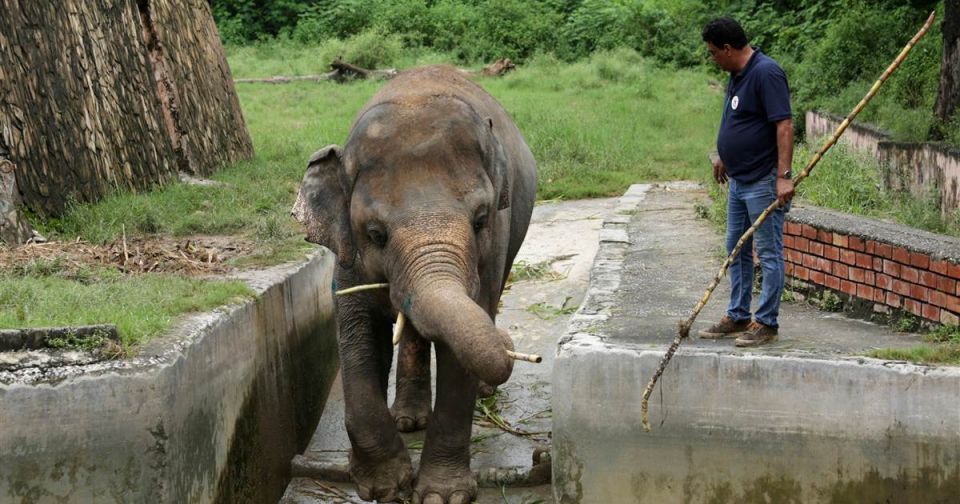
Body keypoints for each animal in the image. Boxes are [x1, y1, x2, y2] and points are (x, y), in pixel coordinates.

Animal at [292, 65, 537, 503]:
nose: (511, 346)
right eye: (375, 234)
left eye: (481, 219)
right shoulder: (347, 254)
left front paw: (441, 496)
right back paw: (408, 420)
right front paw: (385, 486)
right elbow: (357, 334)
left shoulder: (492, 248)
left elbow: (460, 350)